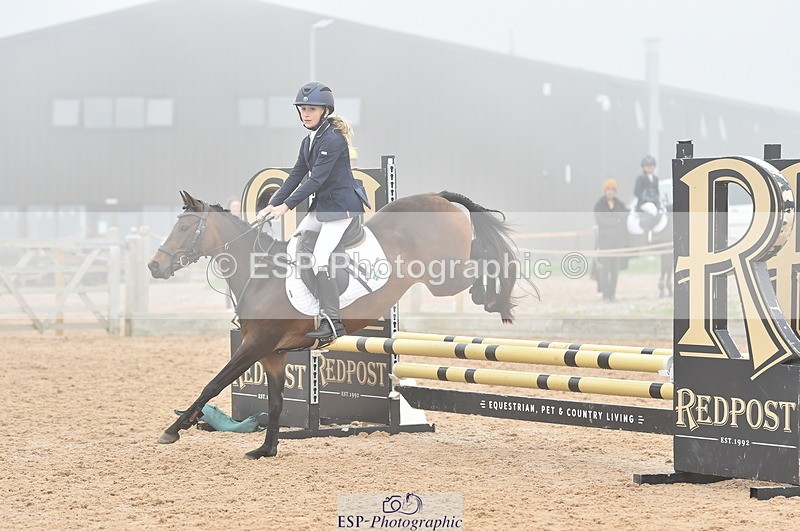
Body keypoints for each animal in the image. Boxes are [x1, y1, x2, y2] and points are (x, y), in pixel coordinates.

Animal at [148, 190, 526, 459]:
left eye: (184, 228)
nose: (154, 266)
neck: (260, 275)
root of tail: (437, 197)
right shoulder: (273, 354)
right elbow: (275, 402)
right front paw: (266, 449)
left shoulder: (255, 345)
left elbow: (212, 385)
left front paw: (174, 429)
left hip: (443, 277)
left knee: (479, 263)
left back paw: (493, 296)